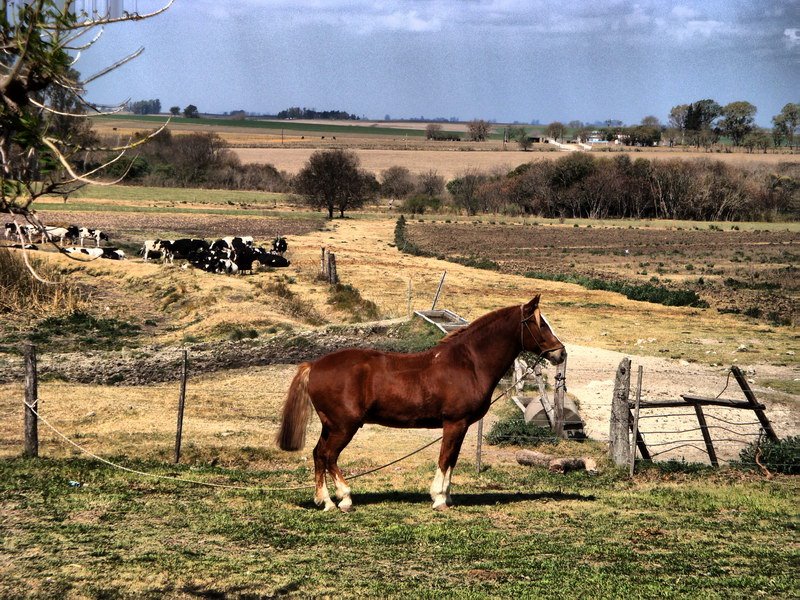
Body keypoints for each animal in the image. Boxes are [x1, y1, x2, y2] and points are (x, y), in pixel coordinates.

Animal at [278, 296, 564, 510]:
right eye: (540, 324)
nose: (561, 353)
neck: (469, 363)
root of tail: (314, 365)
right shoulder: (454, 423)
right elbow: (445, 458)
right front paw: (438, 498)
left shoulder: (461, 426)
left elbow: (452, 459)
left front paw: (447, 496)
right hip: (343, 426)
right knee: (329, 455)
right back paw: (343, 499)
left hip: (331, 425)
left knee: (318, 454)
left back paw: (324, 500)